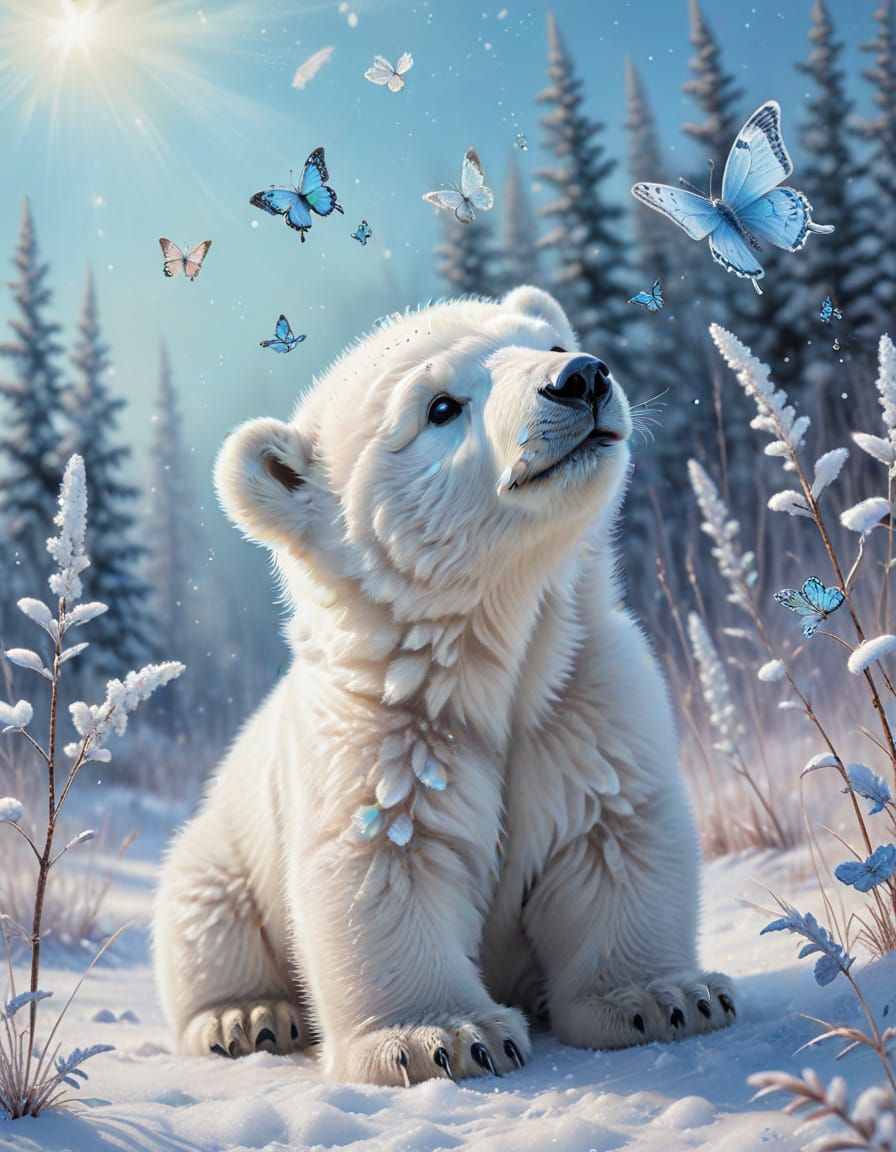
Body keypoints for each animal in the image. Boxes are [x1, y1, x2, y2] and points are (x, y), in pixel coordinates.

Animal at [152, 286, 735, 1086]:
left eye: (549, 344)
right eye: (439, 407)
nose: (581, 377)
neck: (480, 666)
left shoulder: (582, 695)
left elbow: (613, 832)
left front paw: (668, 996)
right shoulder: (384, 736)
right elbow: (386, 864)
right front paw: (444, 1037)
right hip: (221, 851)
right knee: (205, 917)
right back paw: (245, 1016)